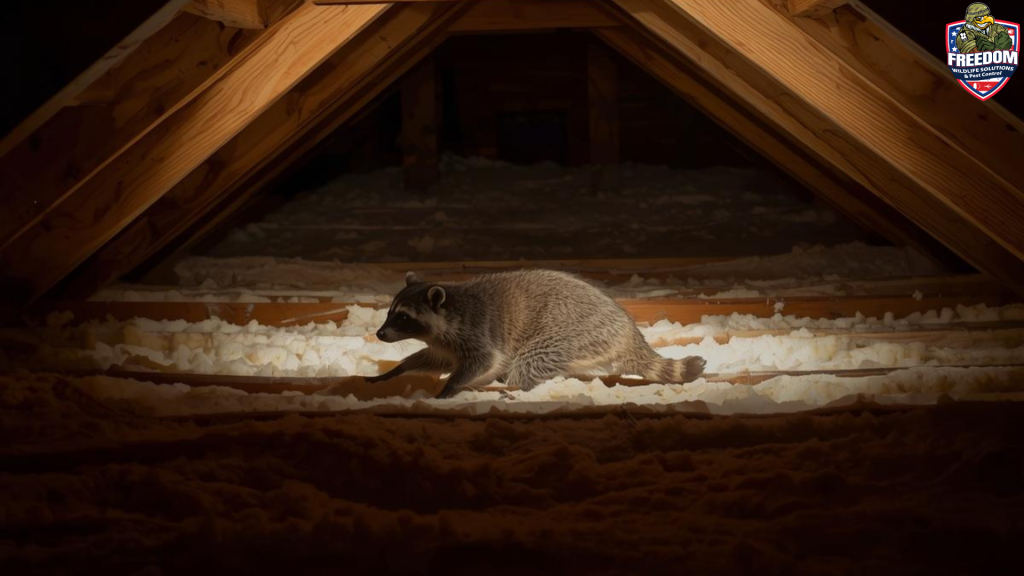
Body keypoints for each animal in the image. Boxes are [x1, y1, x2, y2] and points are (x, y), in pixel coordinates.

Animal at [371, 269, 706, 398]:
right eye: (389, 312)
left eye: (403, 317)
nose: (379, 334)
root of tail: (628, 331)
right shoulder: (445, 344)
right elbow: (432, 359)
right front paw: (396, 370)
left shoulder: (476, 333)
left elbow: (484, 362)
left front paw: (451, 387)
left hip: (574, 333)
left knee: (529, 361)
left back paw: (518, 387)